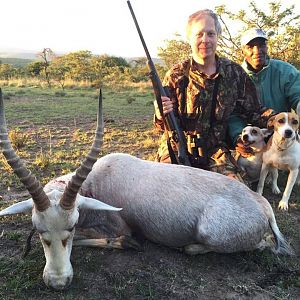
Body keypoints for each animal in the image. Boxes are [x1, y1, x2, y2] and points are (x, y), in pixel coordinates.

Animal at [0, 89, 294, 290]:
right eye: (39, 230)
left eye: (70, 227)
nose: (58, 281)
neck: (93, 183)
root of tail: (263, 205)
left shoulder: (117, 227)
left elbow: (111, 238)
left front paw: (127, 243)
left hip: (212, 233)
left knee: (263, 244)